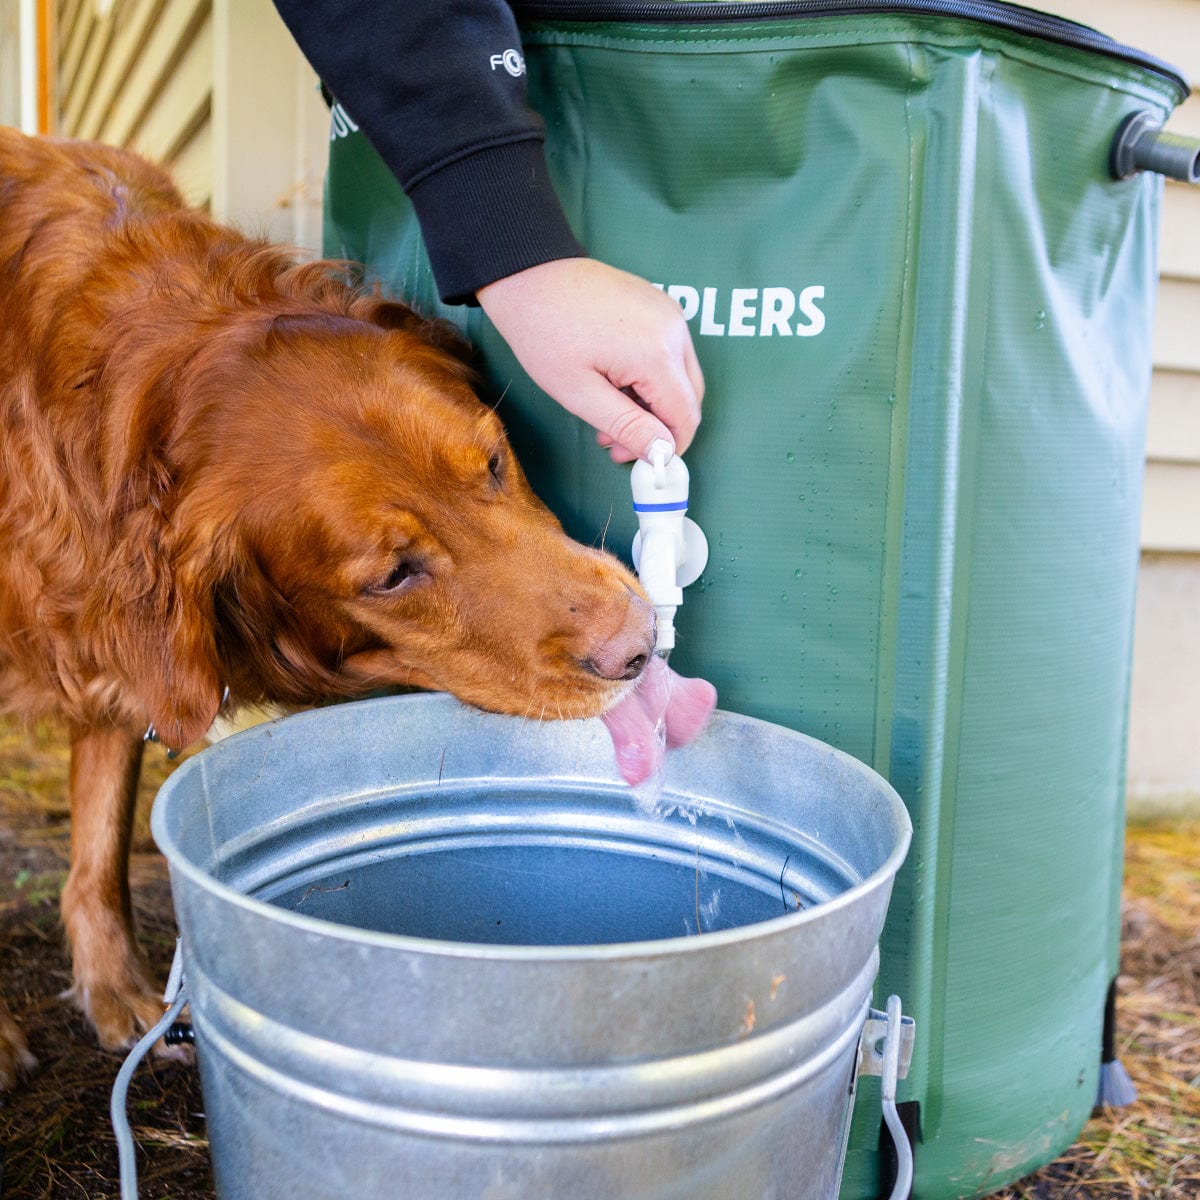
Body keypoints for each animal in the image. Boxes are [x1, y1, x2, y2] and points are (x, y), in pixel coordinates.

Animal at [0, 131, 657, 1089]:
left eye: (496, 462)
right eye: (391, 577)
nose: (638, 645)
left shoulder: (111, 642)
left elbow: (101, 834)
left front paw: (112, 984)